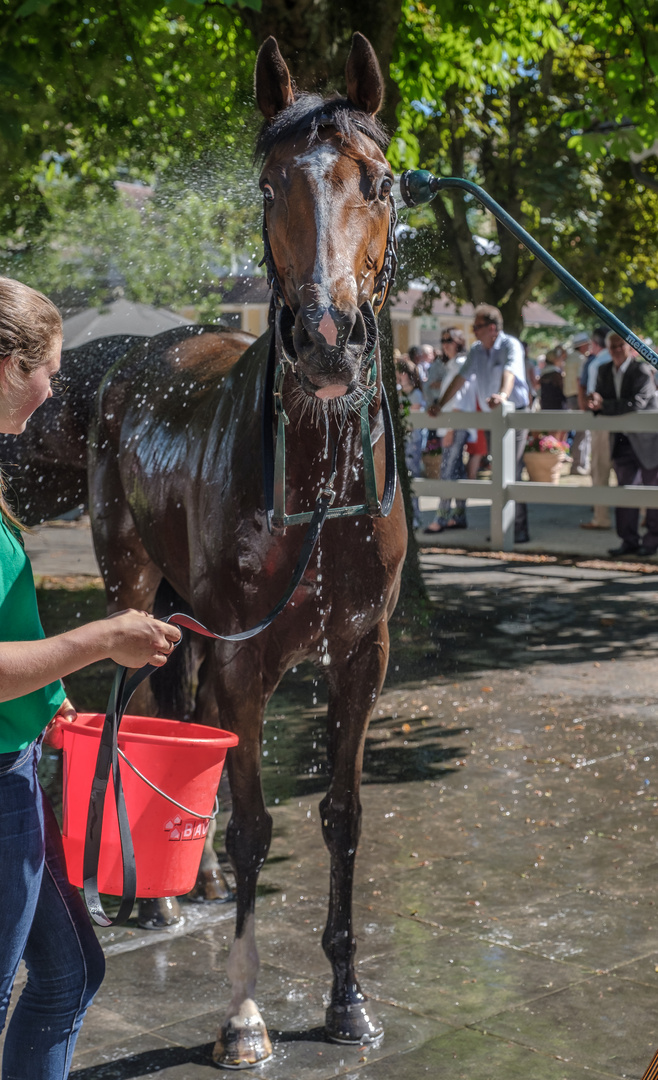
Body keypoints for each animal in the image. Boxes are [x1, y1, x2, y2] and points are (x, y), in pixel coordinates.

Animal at [87, 31, 406, 1062]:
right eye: (269, 186)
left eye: (379, 182)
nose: (327, 342)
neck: (315, 489)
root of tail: (143, 354)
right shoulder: (244, 659)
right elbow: (257, 825)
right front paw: (244, 1017)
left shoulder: (361, 651)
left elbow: (340, 817)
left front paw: (348, 1002)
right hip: (134, 592)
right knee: (145, 710)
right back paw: (147, 900)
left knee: (185, 723)